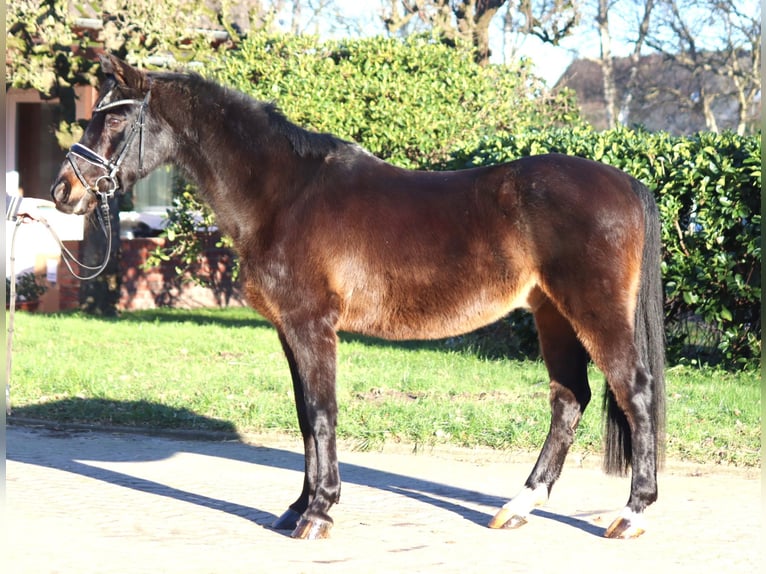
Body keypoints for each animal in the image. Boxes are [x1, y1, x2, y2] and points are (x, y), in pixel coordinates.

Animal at [54, 55, 664, 544]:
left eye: (114, 117)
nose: (64, 191)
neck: (285, 195)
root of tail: (628, 183)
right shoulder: (289, 332)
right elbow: (304, 415)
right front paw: (297, 507)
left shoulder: (312, 327)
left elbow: (323, 413)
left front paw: (318, 514)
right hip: (552, 314)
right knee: (570, 399)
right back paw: (519, 506)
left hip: (592, 312)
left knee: (635, 392)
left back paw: (632, 514)